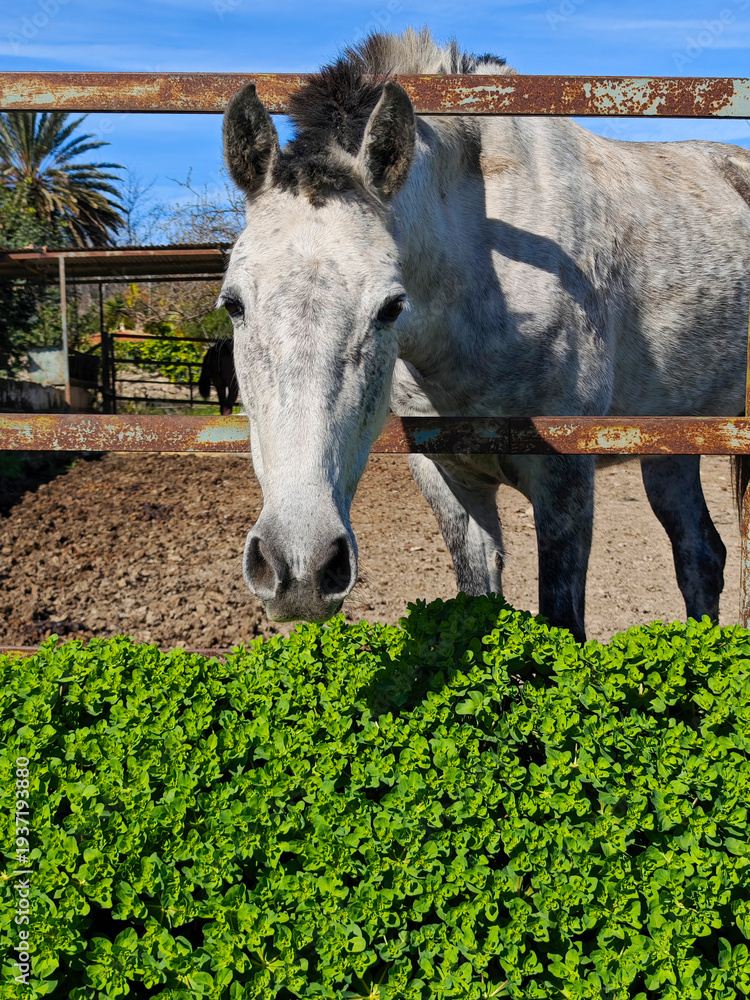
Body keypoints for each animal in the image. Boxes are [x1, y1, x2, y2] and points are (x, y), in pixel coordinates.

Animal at [218, 27, 750, 642]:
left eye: (391, 307)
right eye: (233, 304)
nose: (300, 568)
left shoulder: (565, 475)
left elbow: (562, 619)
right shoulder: (447, 475)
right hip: (673, 444)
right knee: (700, 555)